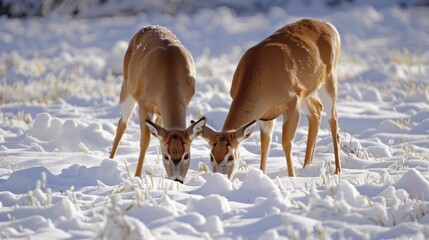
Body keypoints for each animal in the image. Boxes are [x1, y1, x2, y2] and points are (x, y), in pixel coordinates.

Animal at [109, 25, 205, 184]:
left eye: (187, 155)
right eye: (166, 156)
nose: (177, 179)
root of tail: (147, 27)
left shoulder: (187, 101)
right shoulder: (144, 102)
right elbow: (145, 140)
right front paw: (137, 176)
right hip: (127, 87)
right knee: (122, 124)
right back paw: (109, 160)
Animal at [201, 19, 342, 178]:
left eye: (230, 156)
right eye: (211, 156)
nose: (219, 177)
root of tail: (329, 26)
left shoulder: (292, 102)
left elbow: (286, 143)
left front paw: (292, 177)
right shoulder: (265, 116)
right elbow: (265, 145)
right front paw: (261, 175)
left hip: (329, 79)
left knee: (333, 119)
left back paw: (338, 170)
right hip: (307, 93)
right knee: (316, 110)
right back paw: (307, 166)